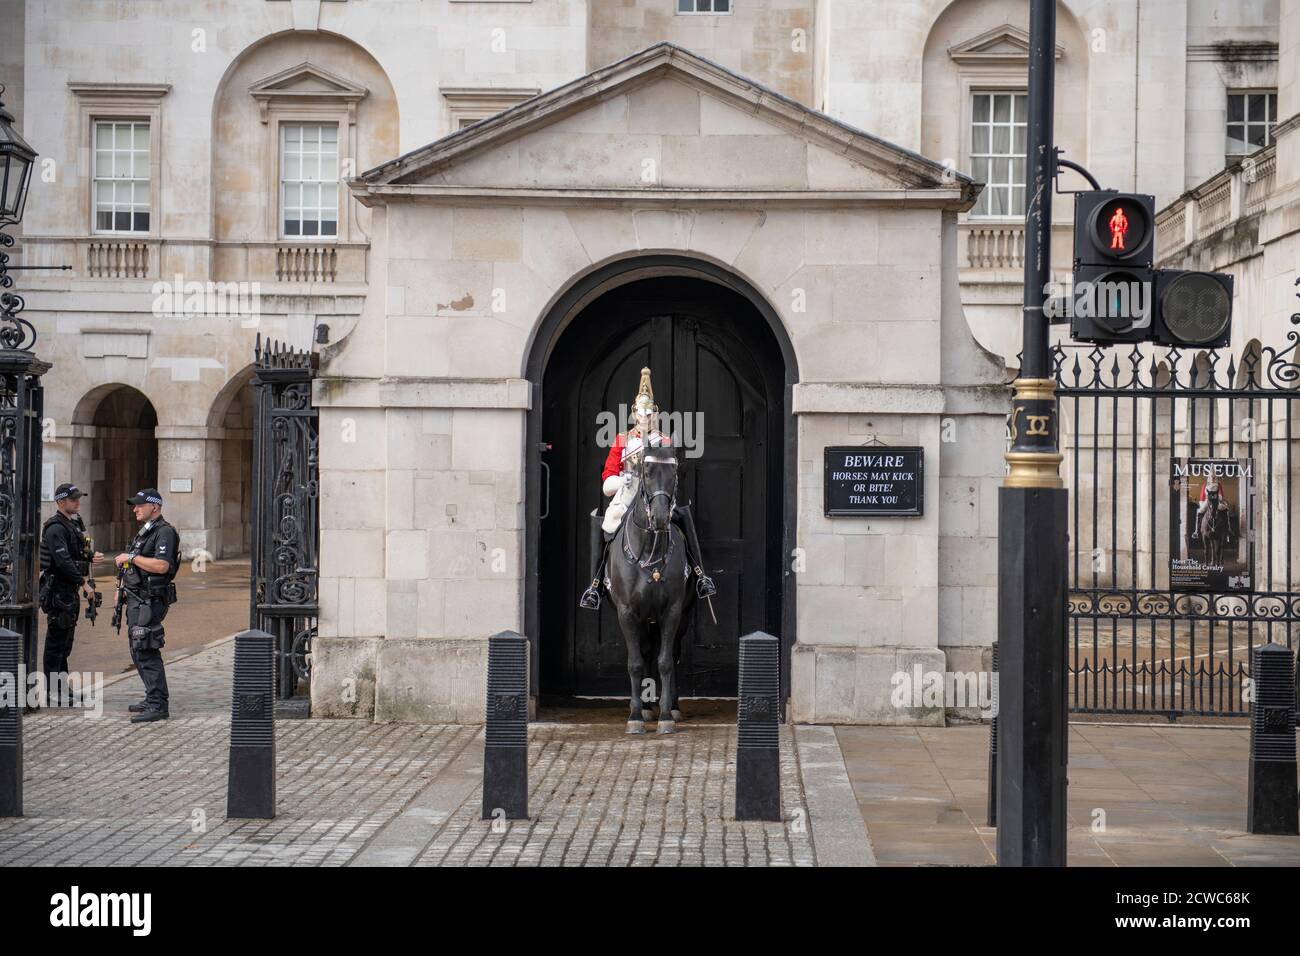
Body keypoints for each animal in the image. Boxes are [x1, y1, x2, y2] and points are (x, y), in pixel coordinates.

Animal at [603, 444, 696, 738]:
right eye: (645, 471)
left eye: (674, 471)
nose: (660, 517)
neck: (650, 550)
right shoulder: (627, 612)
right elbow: (635, 662)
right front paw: (635, 716)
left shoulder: (673, 611)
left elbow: (665, 661)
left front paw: (665, 716)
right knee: (645, 652)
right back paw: (645, 707)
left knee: (670, 654)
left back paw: (671, 707)